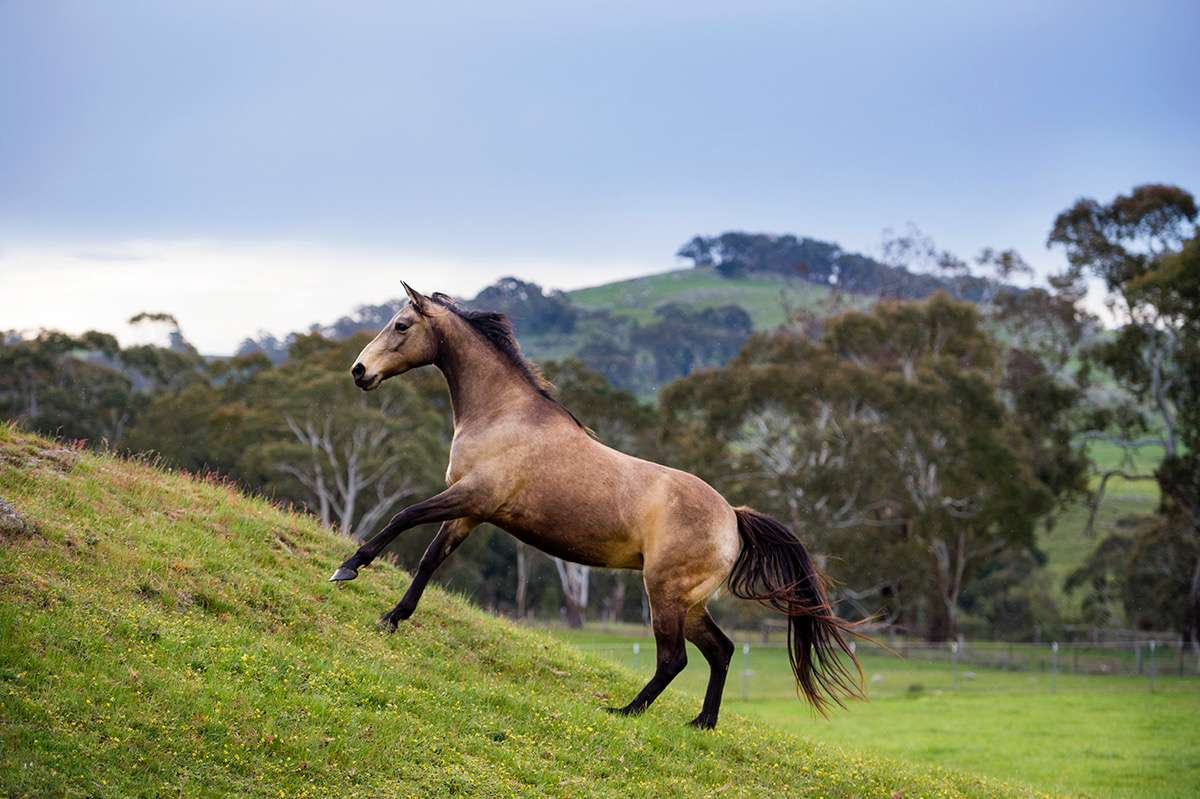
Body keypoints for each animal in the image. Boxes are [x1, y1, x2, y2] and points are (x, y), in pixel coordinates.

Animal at [330, 282, 862, 728]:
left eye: (401, 325)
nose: (359, 371)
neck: (505, 414)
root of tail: (733, 518)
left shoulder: (472, 495)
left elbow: (403, 516)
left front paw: (349, 568)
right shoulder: (471, 512)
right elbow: (428, 562)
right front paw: (392, 617)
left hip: (663, 593)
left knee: (675, 659)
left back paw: (626, 711)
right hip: (689, 602)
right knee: (722, 651)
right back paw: (701, 723)